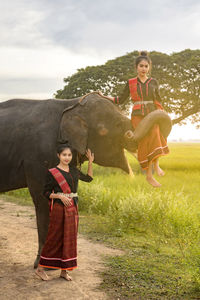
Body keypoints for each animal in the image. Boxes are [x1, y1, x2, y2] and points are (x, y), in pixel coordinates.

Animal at [0, 92, 172, 268]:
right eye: (115, 125)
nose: (129, 134)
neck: (71, 105)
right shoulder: (37, 158)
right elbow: (44, 198)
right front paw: (44, 265)